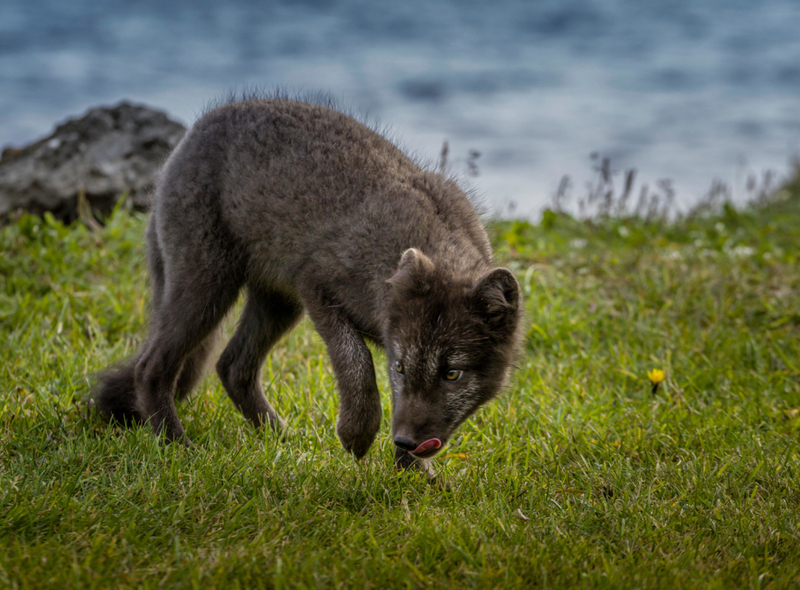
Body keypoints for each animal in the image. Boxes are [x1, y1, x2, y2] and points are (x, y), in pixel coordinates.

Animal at [92, 98, 524, 476]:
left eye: (452, 374)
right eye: (402, 367)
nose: (403, 442)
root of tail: (188, 138)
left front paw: (414, 474)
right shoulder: (316, 285)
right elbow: (357, 364)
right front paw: (358, 435)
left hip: (277, 304)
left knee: (231, 366)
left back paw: (281, 439)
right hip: (208, 288)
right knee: (150, 367)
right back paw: (176, 446)